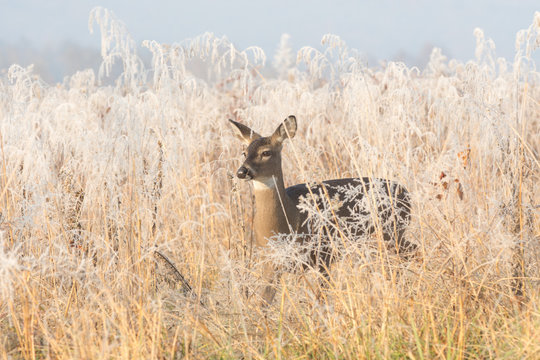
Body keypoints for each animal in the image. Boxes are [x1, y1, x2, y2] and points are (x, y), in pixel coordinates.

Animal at [229, 115, 414, 304]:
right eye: (244, 152)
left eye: (266, 152)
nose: (242, 171)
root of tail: (405, 191)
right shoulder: (271, 262)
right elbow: (262, 303)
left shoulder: (324, 254)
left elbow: (321, 297)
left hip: (391, 232)